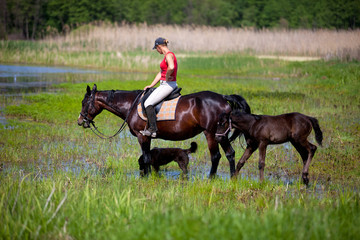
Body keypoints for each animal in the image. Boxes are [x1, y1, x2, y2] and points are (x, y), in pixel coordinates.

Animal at [77, 84, 250, 176]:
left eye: (84, 103)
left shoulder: (142, 136)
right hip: (220, 135)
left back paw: (211, 178)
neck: (131, 105)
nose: (80, 121)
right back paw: (232, 177)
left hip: (211, 133)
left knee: (216, 156)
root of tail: (223, 98)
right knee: (230, 153)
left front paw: (147, 178)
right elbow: (144, 158)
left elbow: (146, 158)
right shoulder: (146, 138)